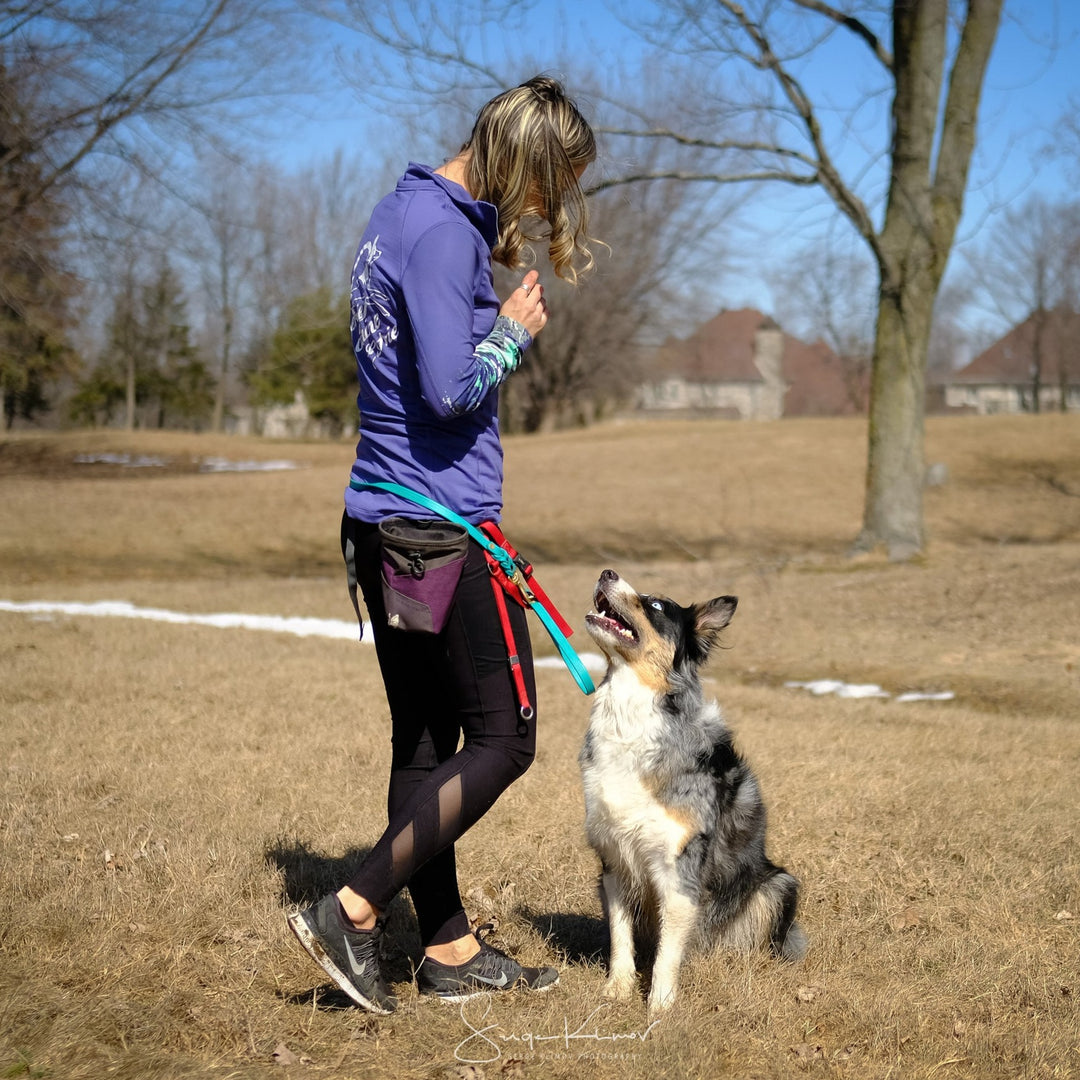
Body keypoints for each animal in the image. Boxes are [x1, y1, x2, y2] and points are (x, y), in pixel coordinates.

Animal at [583, 570, 803, 1006]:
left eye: (655, 605)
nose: (606, 573)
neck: (633, 715)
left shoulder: (679, 866)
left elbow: (668, 950)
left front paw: (660, 1006)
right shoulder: (614, 860)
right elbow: (620, 933)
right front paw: (617, 990)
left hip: (777, 884)